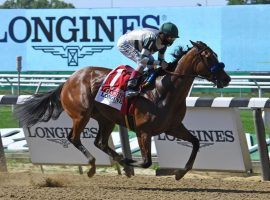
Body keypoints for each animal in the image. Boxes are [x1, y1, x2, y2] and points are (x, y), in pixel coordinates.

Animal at [15, 40, 230, 180]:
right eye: (209, 57)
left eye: (216, 55)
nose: (226, 78)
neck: (164, 90)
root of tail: (69, 80)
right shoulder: (144, 131)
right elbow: (146, 162)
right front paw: (129, 162)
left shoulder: (173, 127)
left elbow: (195, 142)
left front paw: (179, 172)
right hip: (81, 115)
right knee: (74, 138)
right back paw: (93, 166)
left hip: (106, 119)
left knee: (100, 142)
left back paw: (114, 158)